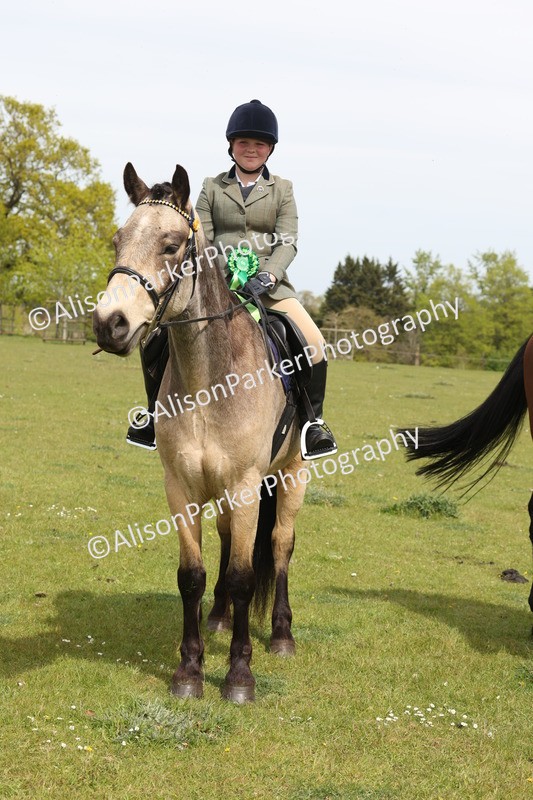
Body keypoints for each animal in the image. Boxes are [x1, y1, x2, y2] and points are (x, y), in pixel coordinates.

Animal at [92, 163, 307, 703]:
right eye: (117, 240)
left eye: (171, 245)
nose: (109, 324)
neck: (210, 381)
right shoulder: (182, 487)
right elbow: (192, 575)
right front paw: (189, 670)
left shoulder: (247, 485)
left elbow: (245, 576)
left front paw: (239, 675)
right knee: (230, 540)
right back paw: (219, 618)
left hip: (292, 475)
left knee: (280, 544)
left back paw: (281, 634)